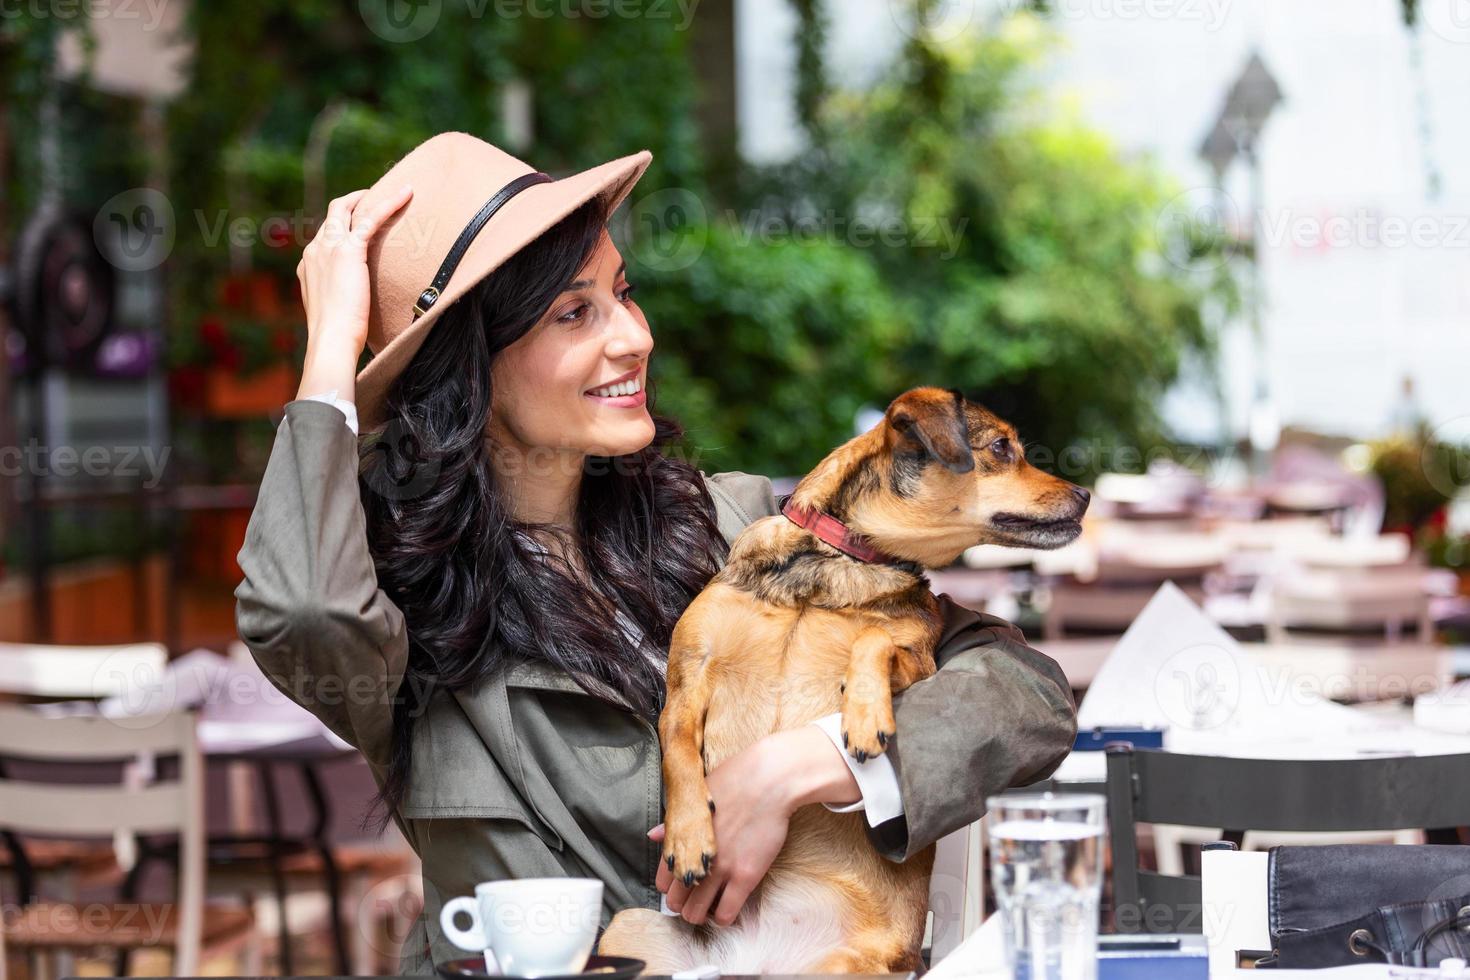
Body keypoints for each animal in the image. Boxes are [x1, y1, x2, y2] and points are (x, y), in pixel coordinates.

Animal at [596, 387, 1093, 975]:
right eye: (1000, 447)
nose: (1086, 494)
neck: (838, 562)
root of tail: (756, 961)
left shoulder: (921, 662)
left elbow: (874, 637)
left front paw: (862, 715)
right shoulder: (686, 681)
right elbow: (675, 749)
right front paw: (689, 835)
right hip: (629, 929)